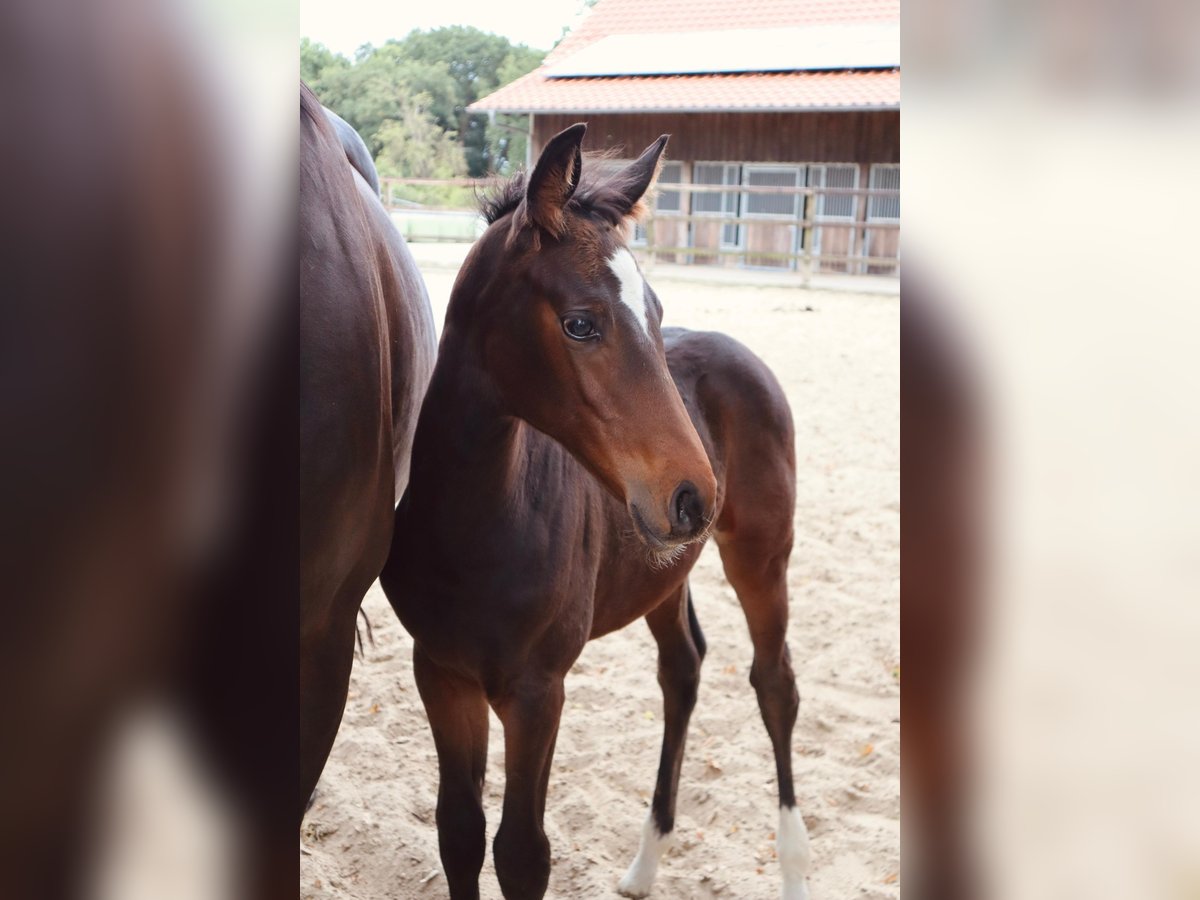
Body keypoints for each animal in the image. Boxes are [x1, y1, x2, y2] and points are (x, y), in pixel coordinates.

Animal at [381, 124, 811, 900]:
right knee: (683, 670)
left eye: (658, 315)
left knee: (775, 685)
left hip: (761, 555)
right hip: (665, 573)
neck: (477, 527)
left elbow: (522, 852)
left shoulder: (537, 692)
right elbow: (458, 833)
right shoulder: (442, 673)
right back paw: (644, 863)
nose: (696, 496)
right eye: (581, 324)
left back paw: (791, 866)